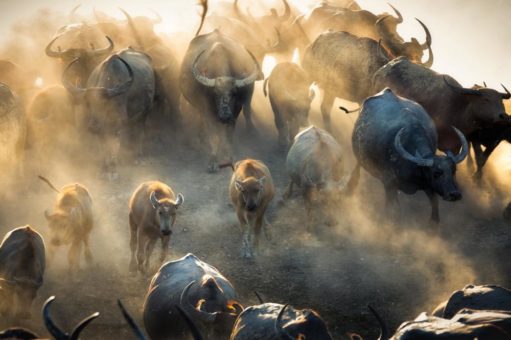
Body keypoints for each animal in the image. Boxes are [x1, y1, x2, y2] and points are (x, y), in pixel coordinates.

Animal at [62, 47, 154, 181]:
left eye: (105, 103)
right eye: (87, 104)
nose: (93, 126)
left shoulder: (117, 124)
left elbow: (114, 146)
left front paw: (113, 170)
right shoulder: (102, 129)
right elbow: (103, 147)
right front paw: (103, 169)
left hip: (146, 110)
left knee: (139, 131)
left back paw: (138, 157)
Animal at [179, 28, 260, 173]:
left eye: (234, 94)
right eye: (215, 93)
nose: (224, 115)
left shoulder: (235, 113)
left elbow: (228, 136)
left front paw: (230, 156)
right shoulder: (208, 112)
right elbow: (214, 137)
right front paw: (213, 161)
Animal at [352, 89, 468, 224]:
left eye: (454, 171)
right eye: (436, 173)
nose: (454, 194)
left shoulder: (428, 185)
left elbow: (435, 206)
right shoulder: (389, 183)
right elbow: (393, 210)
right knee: (357, 165)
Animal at [372, 56, 511, 154]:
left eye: (501, 101)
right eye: (486, 99)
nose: (503, 116)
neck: (459, 109)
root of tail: (389, 65)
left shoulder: (455, 147)